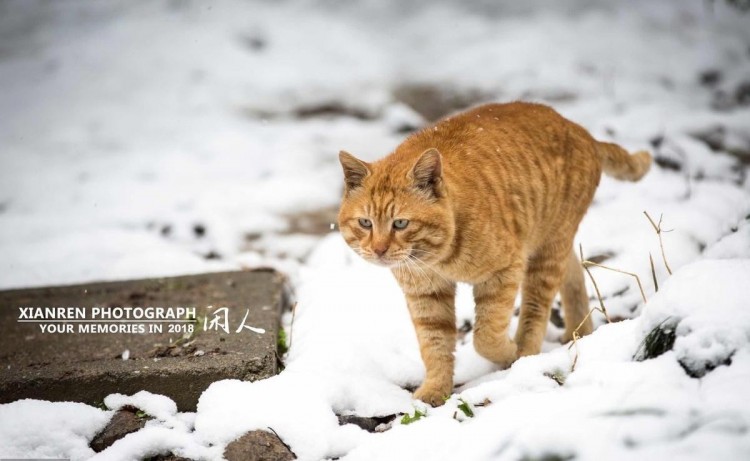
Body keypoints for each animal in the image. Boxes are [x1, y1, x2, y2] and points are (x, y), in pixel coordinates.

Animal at [338, 100, 648, 402]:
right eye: (365, 223)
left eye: (400, 223)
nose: (378, 249)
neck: (438, 259)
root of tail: (583, 132)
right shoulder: (426, 295)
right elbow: (434, 346)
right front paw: (436, 390)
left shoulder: (504, 272)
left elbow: (484, 336)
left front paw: (508, 352)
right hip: (550, 242)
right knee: (573, 274)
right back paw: (580, 333)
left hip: (544, 254)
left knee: (537, 309)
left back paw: (526, 355)